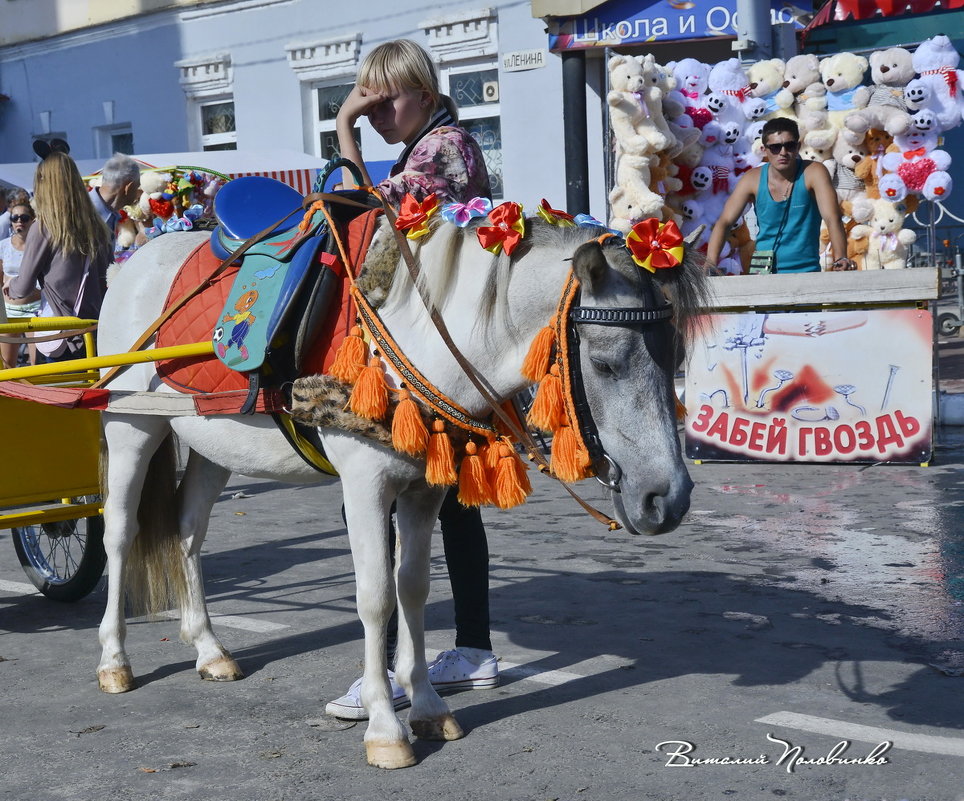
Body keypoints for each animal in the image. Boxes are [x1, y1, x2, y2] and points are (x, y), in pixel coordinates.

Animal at [94, 214, 704, 768]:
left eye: (675, 355)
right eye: (603, 363)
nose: (666, 498)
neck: (415, 335)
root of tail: (132, 263)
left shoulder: (423, 491)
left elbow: (412, 588)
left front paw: (428, 705)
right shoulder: (366, 486)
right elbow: (375, 597)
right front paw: (385, 726)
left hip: (210, 443)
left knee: (188, 533)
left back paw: (208, 648)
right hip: (131, 429)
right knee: (120, 535)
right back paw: (114, 660)